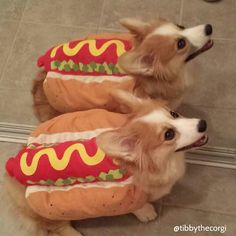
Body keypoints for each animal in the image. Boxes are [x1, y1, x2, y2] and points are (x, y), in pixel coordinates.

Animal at [2, 91, 207, 236]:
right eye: (169, 135)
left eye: (174, 114)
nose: (203, 124)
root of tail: (11, 168)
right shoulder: (119, 198)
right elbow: (136, 206)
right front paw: (146, 212)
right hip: (50, 211)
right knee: (58, 227)